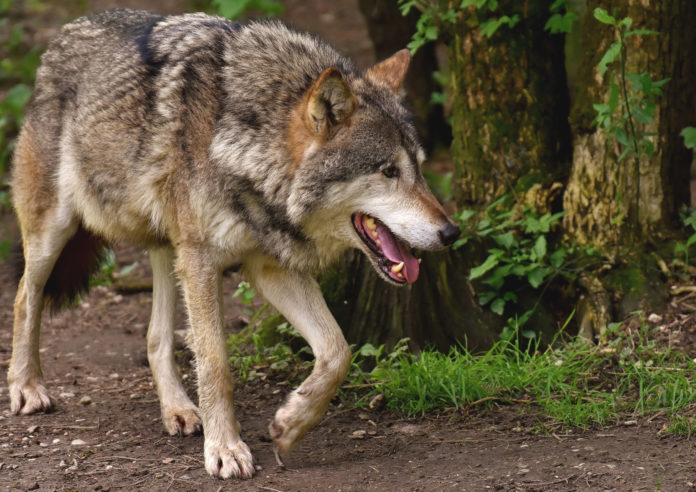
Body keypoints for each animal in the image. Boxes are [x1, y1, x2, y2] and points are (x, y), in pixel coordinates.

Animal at [8, 9, 460, 479]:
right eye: (389, 171)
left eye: (420, 169)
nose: (451, 233)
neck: (247, 146)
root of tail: (67, 31)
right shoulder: (204, 261)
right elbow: (216, 364)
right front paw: (224, 448)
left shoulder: (269, 267)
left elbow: (338, 351)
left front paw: (291, 425)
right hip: (56, 232)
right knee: (25, 297)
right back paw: (26, 387)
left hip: (169, 249)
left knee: (155, 337)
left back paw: (178, 410)